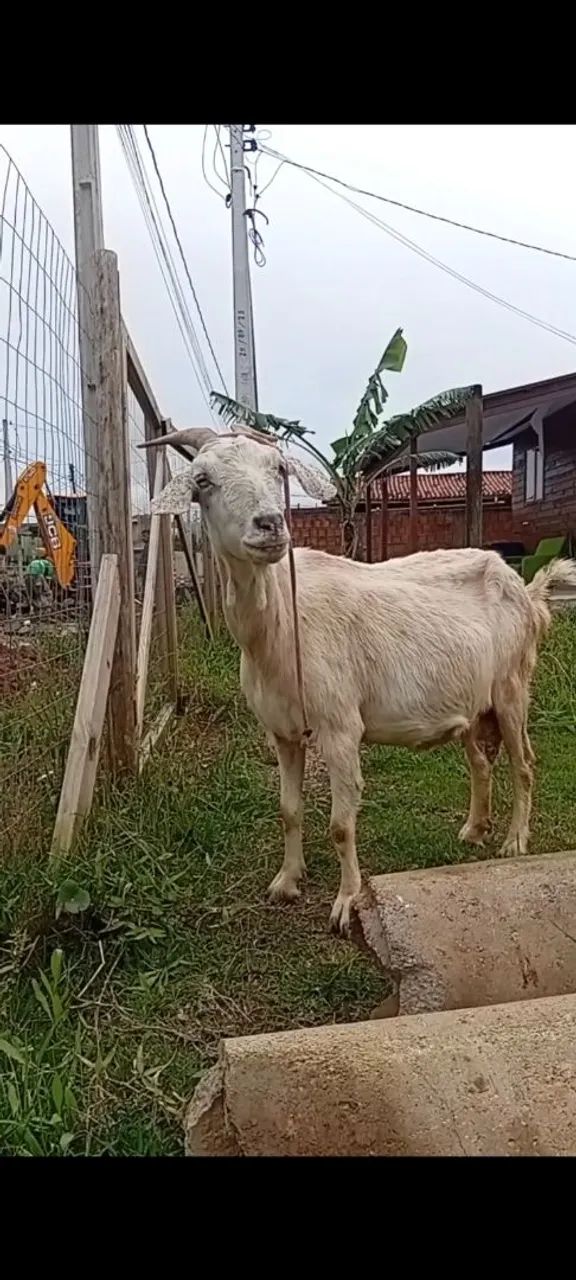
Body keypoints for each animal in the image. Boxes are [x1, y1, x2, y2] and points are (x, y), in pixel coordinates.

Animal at [143, 427, 576, 935]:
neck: (281, 622)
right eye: (203, 481)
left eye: (278, 468)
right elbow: (288, 810)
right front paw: (287, 881)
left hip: (511, 687)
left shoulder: (340, 728)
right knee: (480, 763)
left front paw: (347, 902)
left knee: (524, 763)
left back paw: (514, 841)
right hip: (474, 701)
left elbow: (340, 824)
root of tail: (524, 588)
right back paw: (473, 829)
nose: (270, 525)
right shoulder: (281, 732)